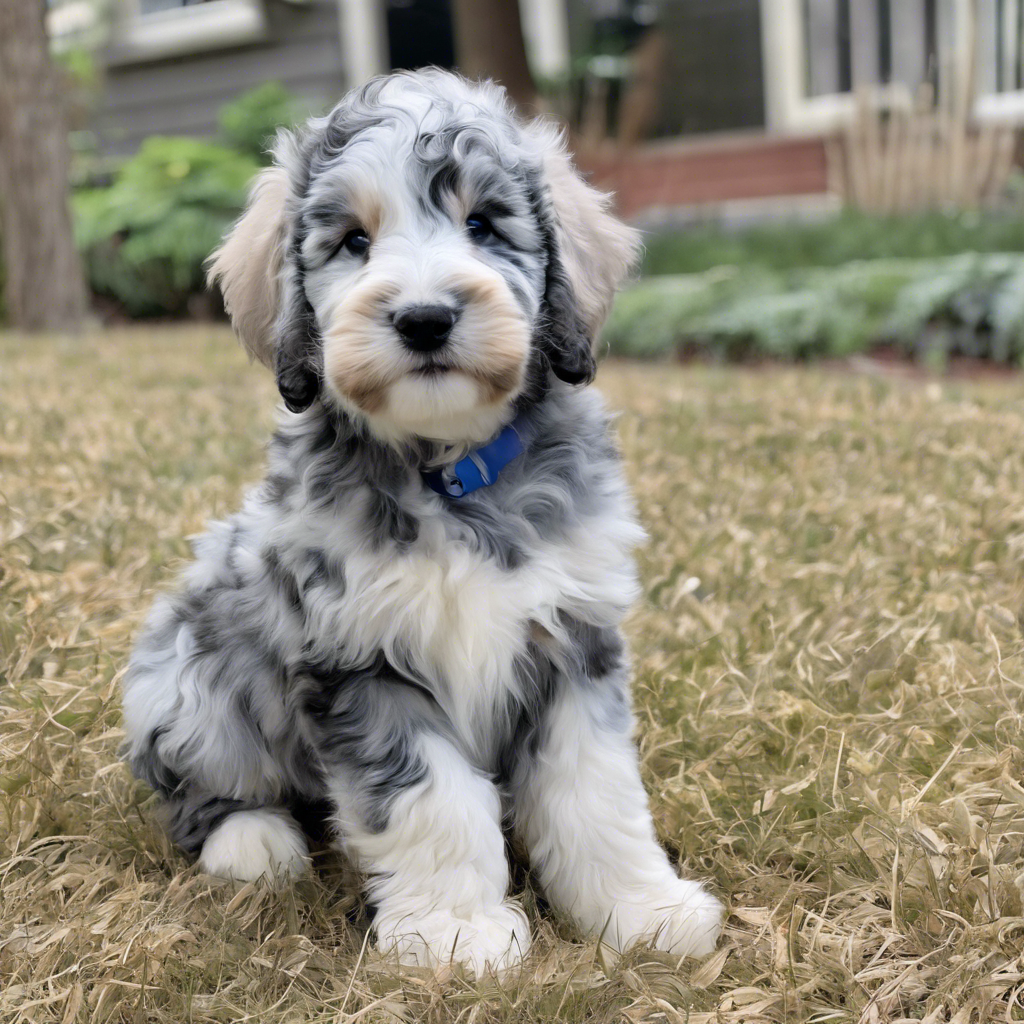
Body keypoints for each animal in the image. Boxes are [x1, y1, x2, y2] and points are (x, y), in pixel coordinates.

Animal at [119, 68, 724, 970]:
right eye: (353, 242)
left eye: (483, 225)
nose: (426, 317)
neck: (448, 476)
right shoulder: (361, 661)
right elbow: (430, 802)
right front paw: (455, 933)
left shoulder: (574, 642)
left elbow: (597, 795)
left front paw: (639, 910)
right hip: (190, 680)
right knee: (200, 793)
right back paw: (252, 843)